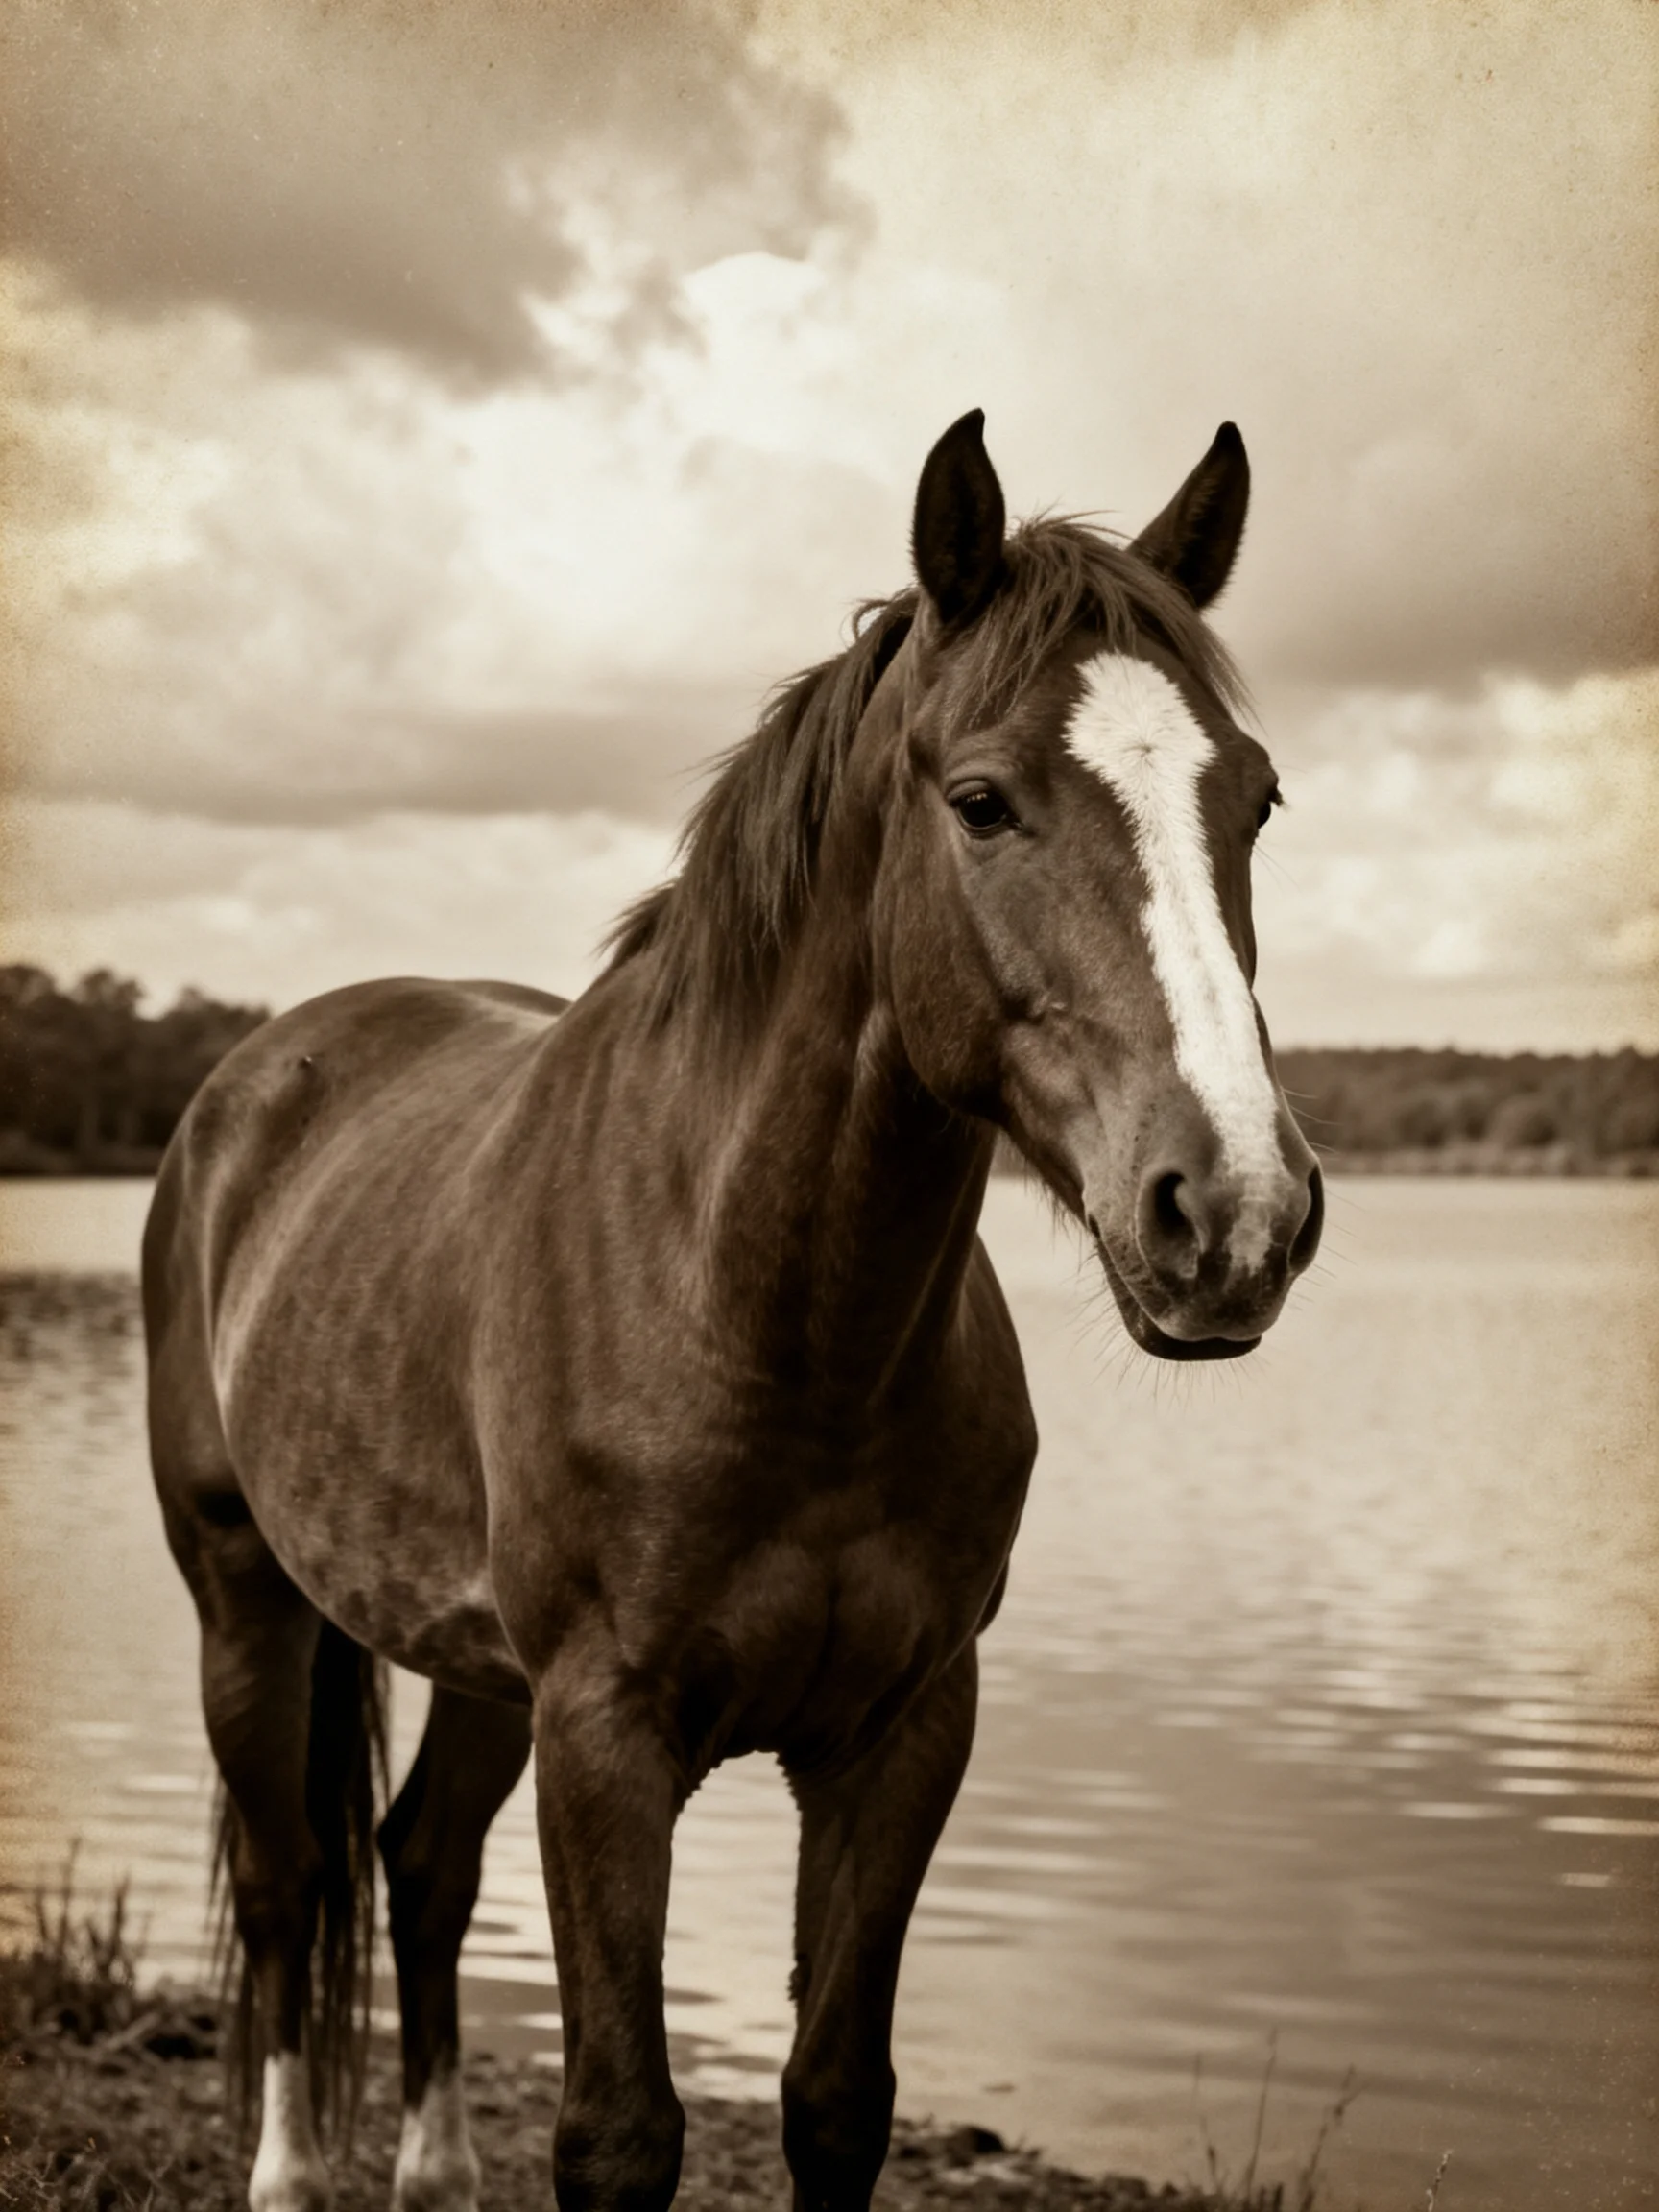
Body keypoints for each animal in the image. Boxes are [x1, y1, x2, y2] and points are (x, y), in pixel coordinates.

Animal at [143, 408, 1322, 2212]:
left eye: (1252, 796)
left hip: (473, 1666)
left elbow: (836, 2096)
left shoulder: (902, 1731)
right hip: (243, 1597)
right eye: (981, 800)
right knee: (290, 1886)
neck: (770, 1328)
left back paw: (433, 2168)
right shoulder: (606, 1735)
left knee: (419, 1865)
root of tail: (261, 1072)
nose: (1236, 1209)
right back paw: (288, 2174)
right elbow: (619, 2127)